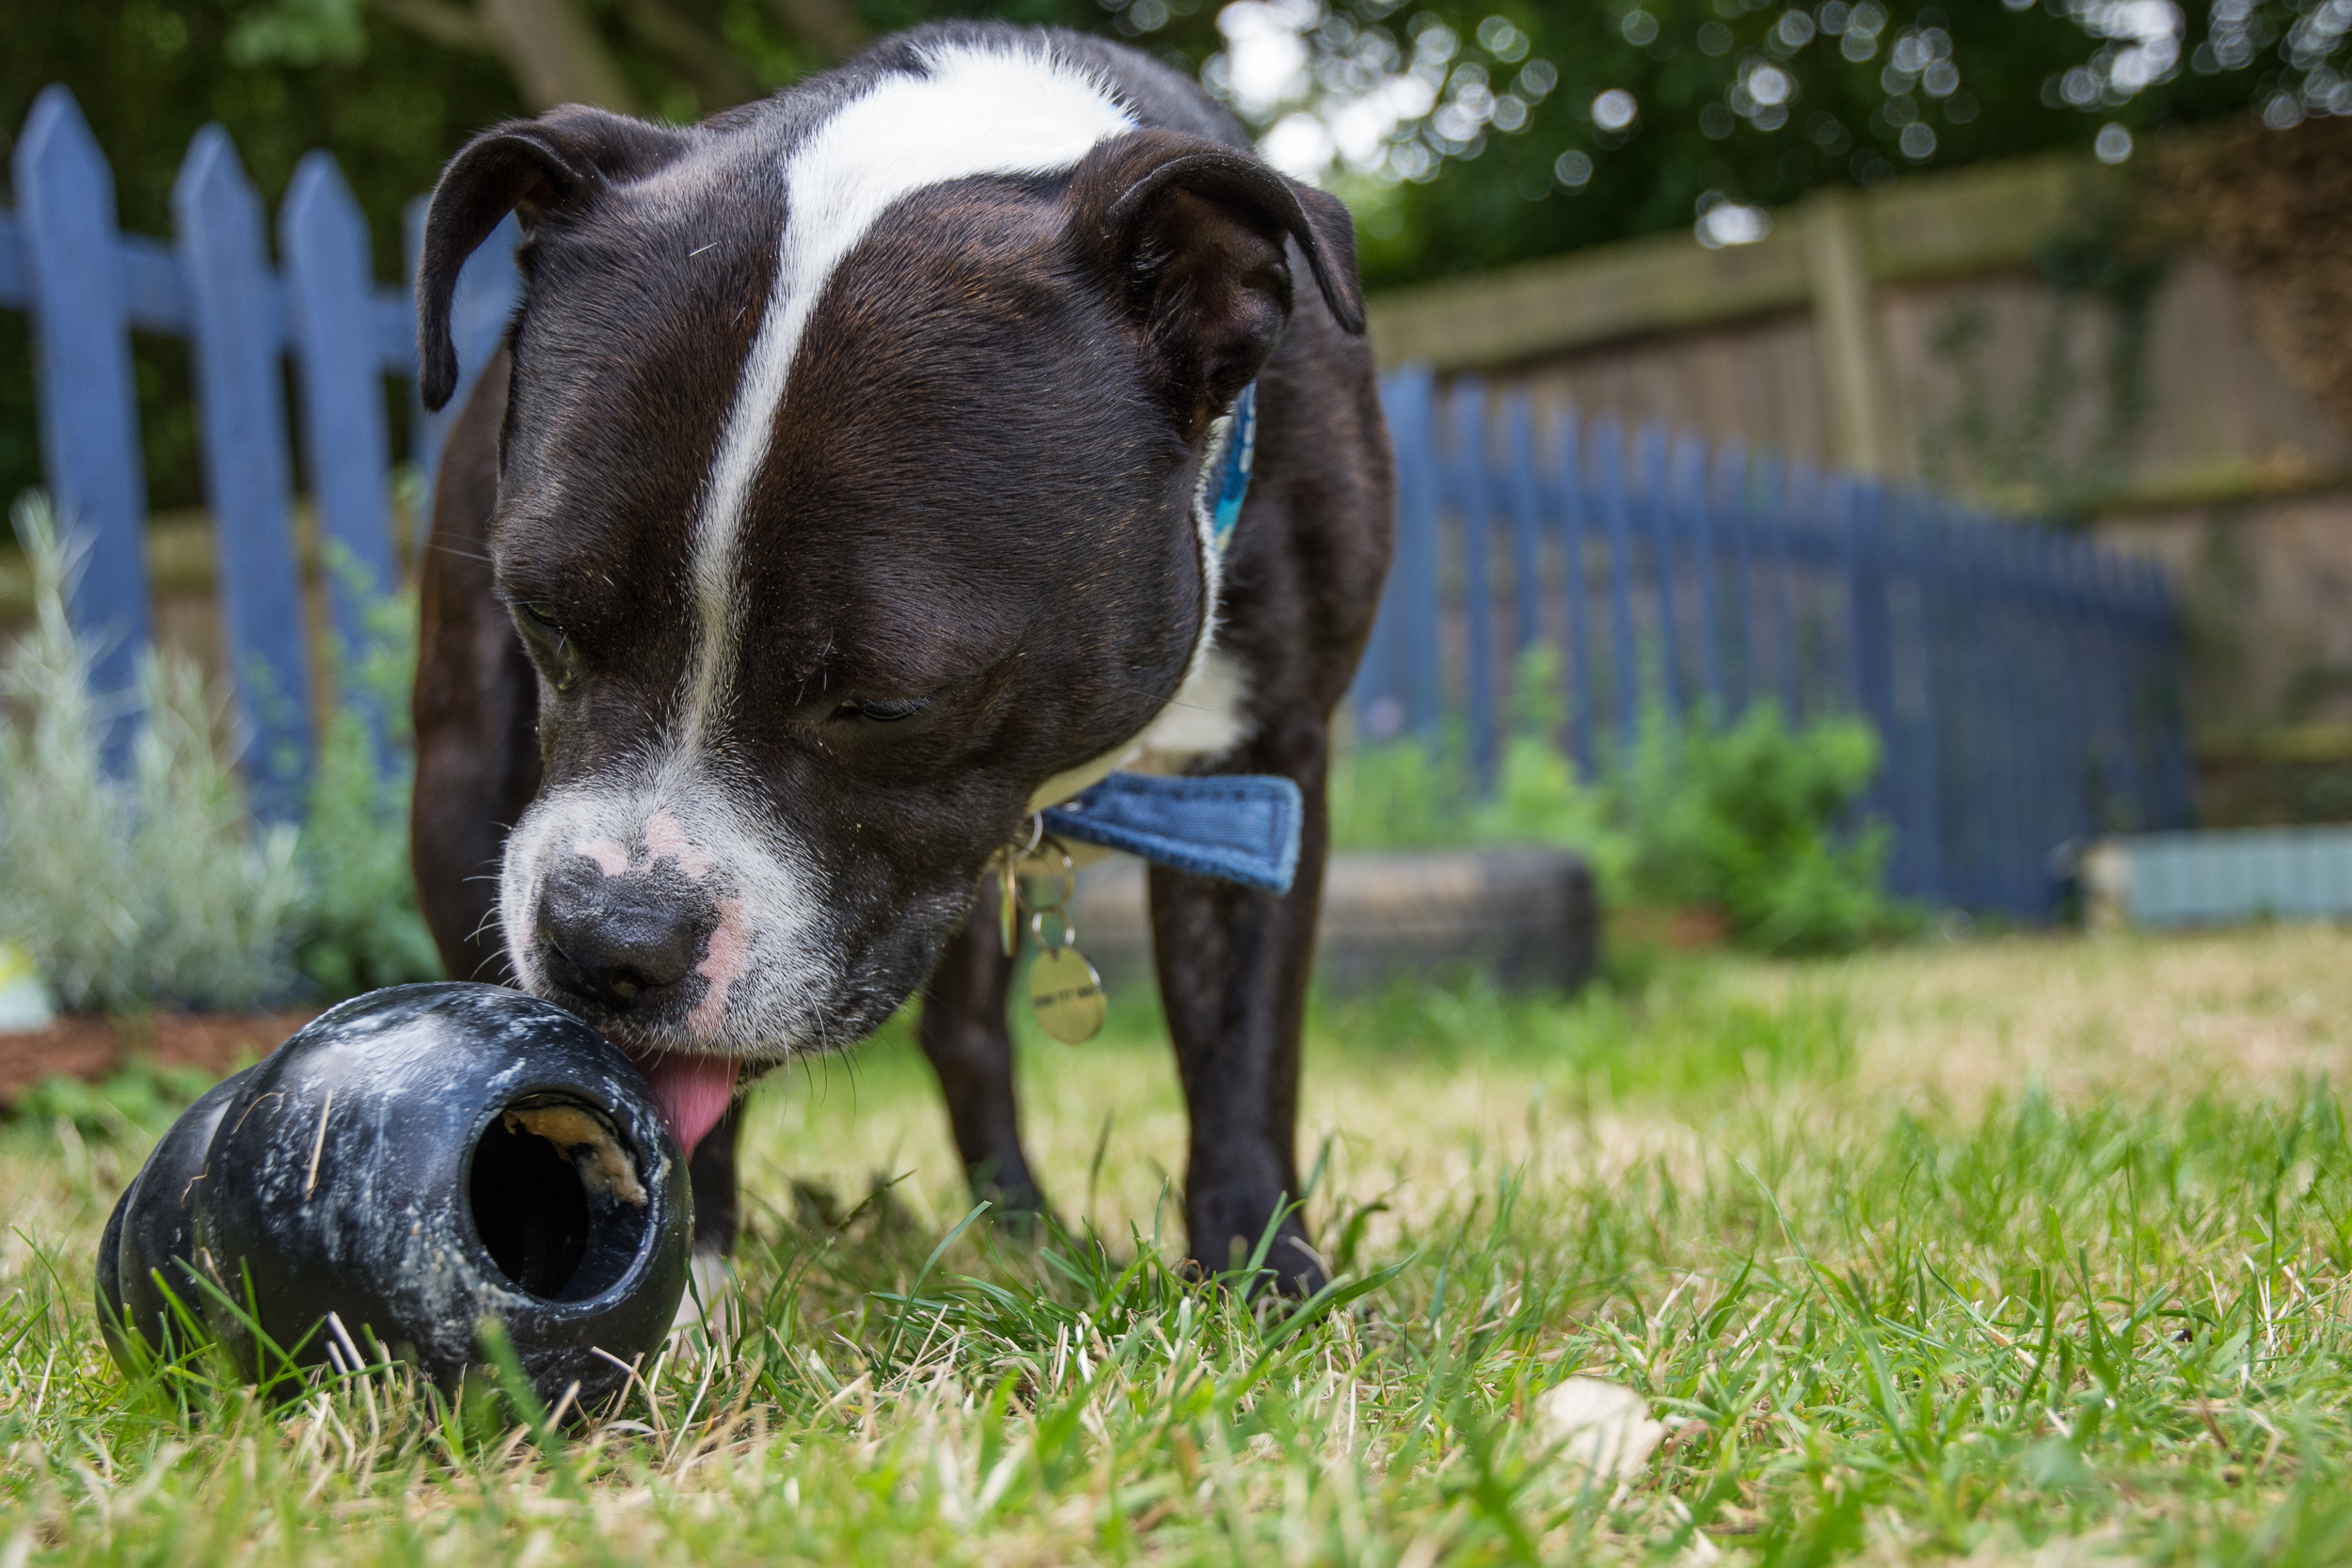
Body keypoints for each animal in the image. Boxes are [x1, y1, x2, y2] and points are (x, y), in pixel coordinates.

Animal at [409, 21, 1392, 1297]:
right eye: (544, 616)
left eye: (883, 702)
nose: (612, 938)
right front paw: (680, 1278)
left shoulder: (1263, 775)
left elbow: (1242, 1047)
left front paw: (1261, 1276)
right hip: (459, 789)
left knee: (965, 1029)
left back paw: (1018, 1225)